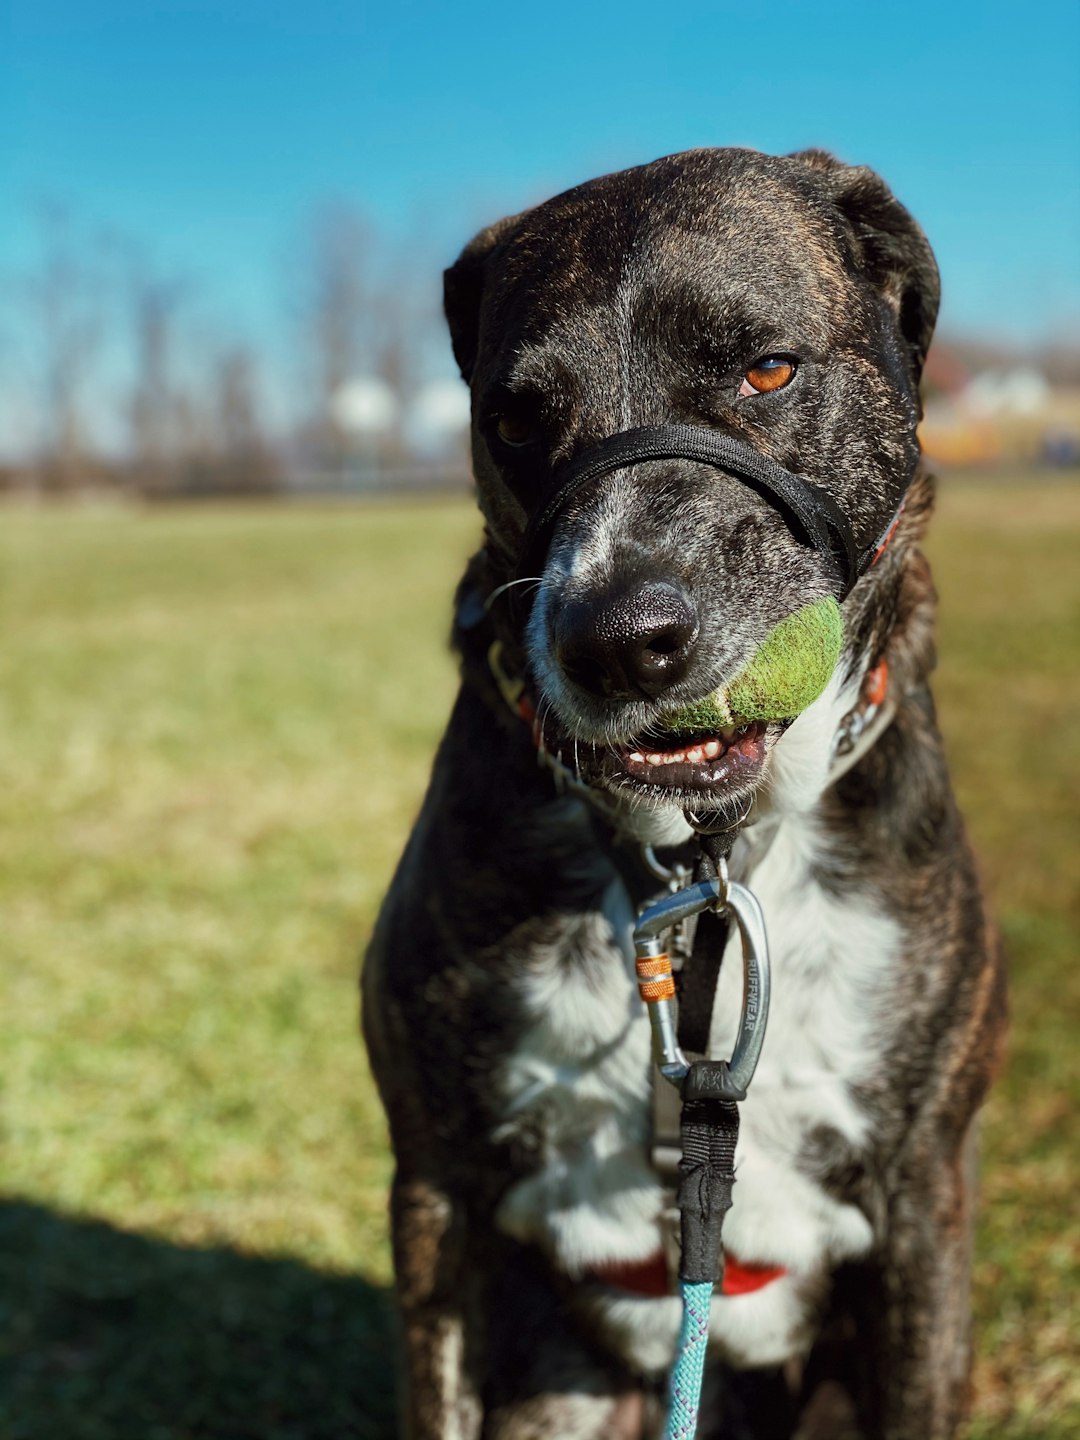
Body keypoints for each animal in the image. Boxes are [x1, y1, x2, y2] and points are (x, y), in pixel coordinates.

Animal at [364, 149, 1008, 1440]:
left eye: (767, 368)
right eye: (517, 420)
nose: (618, 638)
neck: (700, 855)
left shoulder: (925, 1199)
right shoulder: (436, 1191)